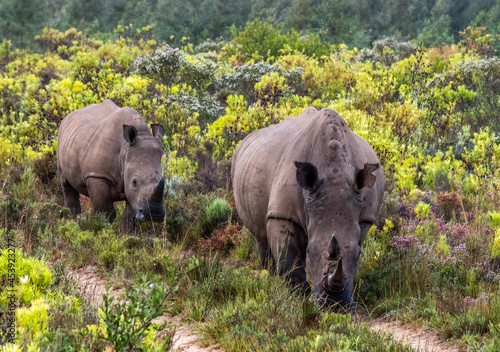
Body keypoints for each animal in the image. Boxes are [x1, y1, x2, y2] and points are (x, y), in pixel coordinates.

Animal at [56, 99, 166, 231]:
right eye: (134, 182)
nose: (154, 215)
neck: (125, 150)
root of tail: (68, 116)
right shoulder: (97, 175)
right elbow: (105, 212)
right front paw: (97, 229)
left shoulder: (133, 191)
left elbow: (130, 218)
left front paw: (127, 236)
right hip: (61, 137)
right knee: (66, 182)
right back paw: (70, 224)